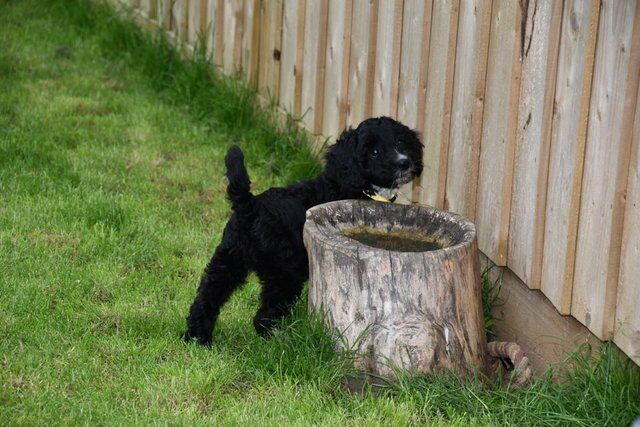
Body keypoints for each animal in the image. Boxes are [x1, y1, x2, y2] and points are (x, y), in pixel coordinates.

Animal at [185, 116, 422, 344]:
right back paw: (279, 340)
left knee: (206, 297)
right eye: (374, 152)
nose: (404, 162)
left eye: (400, 142)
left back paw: (197, 339)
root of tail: (250, 206)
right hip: (283, 273)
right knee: (263, 315)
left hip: (229, 258)